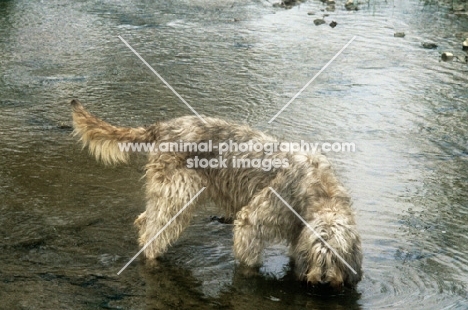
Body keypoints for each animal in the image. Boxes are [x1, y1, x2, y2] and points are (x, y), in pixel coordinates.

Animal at [70, 98, 362, 288]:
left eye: (337, 257)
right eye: (319, 255)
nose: (323, 281)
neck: (319, 191)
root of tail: (163, 126)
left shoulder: (297, 230)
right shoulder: (252, 220)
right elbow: (249, 256)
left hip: (165, 193)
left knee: (145, 220)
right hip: (179, 194)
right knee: (152, 236)